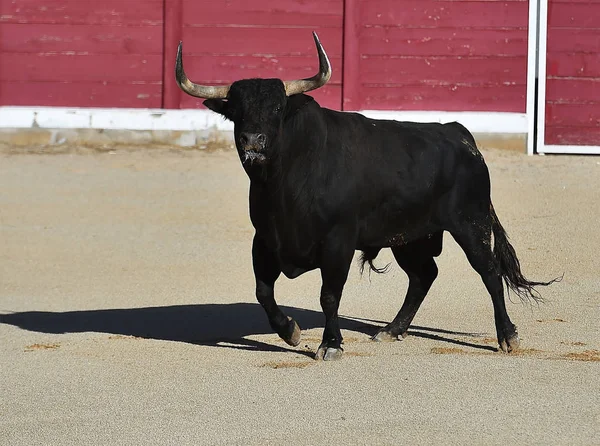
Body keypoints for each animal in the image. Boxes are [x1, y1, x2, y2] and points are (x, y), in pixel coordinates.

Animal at [175, 31, 556, 360]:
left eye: (277, 108)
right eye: (236, 111)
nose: (253, 141)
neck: (285, 184)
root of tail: (459, 134)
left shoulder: (338, 242)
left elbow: (329, 295)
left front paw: (331, 344)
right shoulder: (266, 240)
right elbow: (263, 292)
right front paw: (290, 331)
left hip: (471, 223)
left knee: (489, 272)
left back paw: (507, 336)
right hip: (411, 236)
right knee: (424, 275)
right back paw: (392, 329)